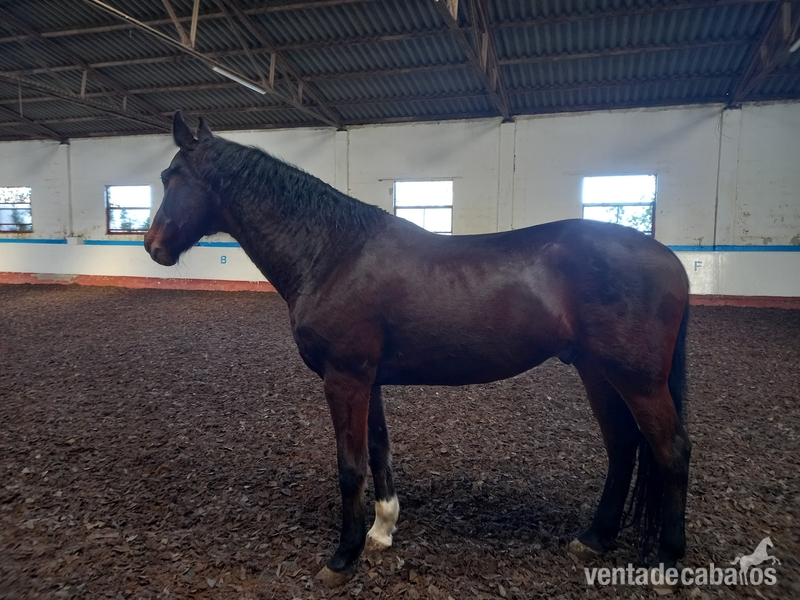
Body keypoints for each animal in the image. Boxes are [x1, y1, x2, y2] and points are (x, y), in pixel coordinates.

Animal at [144, 111, 692, 586]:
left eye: (171, 176)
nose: (153, 246)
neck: (332, 253)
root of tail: (669, 259)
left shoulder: (344, 378)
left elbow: (350, 466)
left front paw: (342, 557)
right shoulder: (368, 379)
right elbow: (379, 450)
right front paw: (381, 531)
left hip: (638, 380)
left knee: (671, 451)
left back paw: (667, 563)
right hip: (598, 372)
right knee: (623, 446)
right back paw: (594, 539)